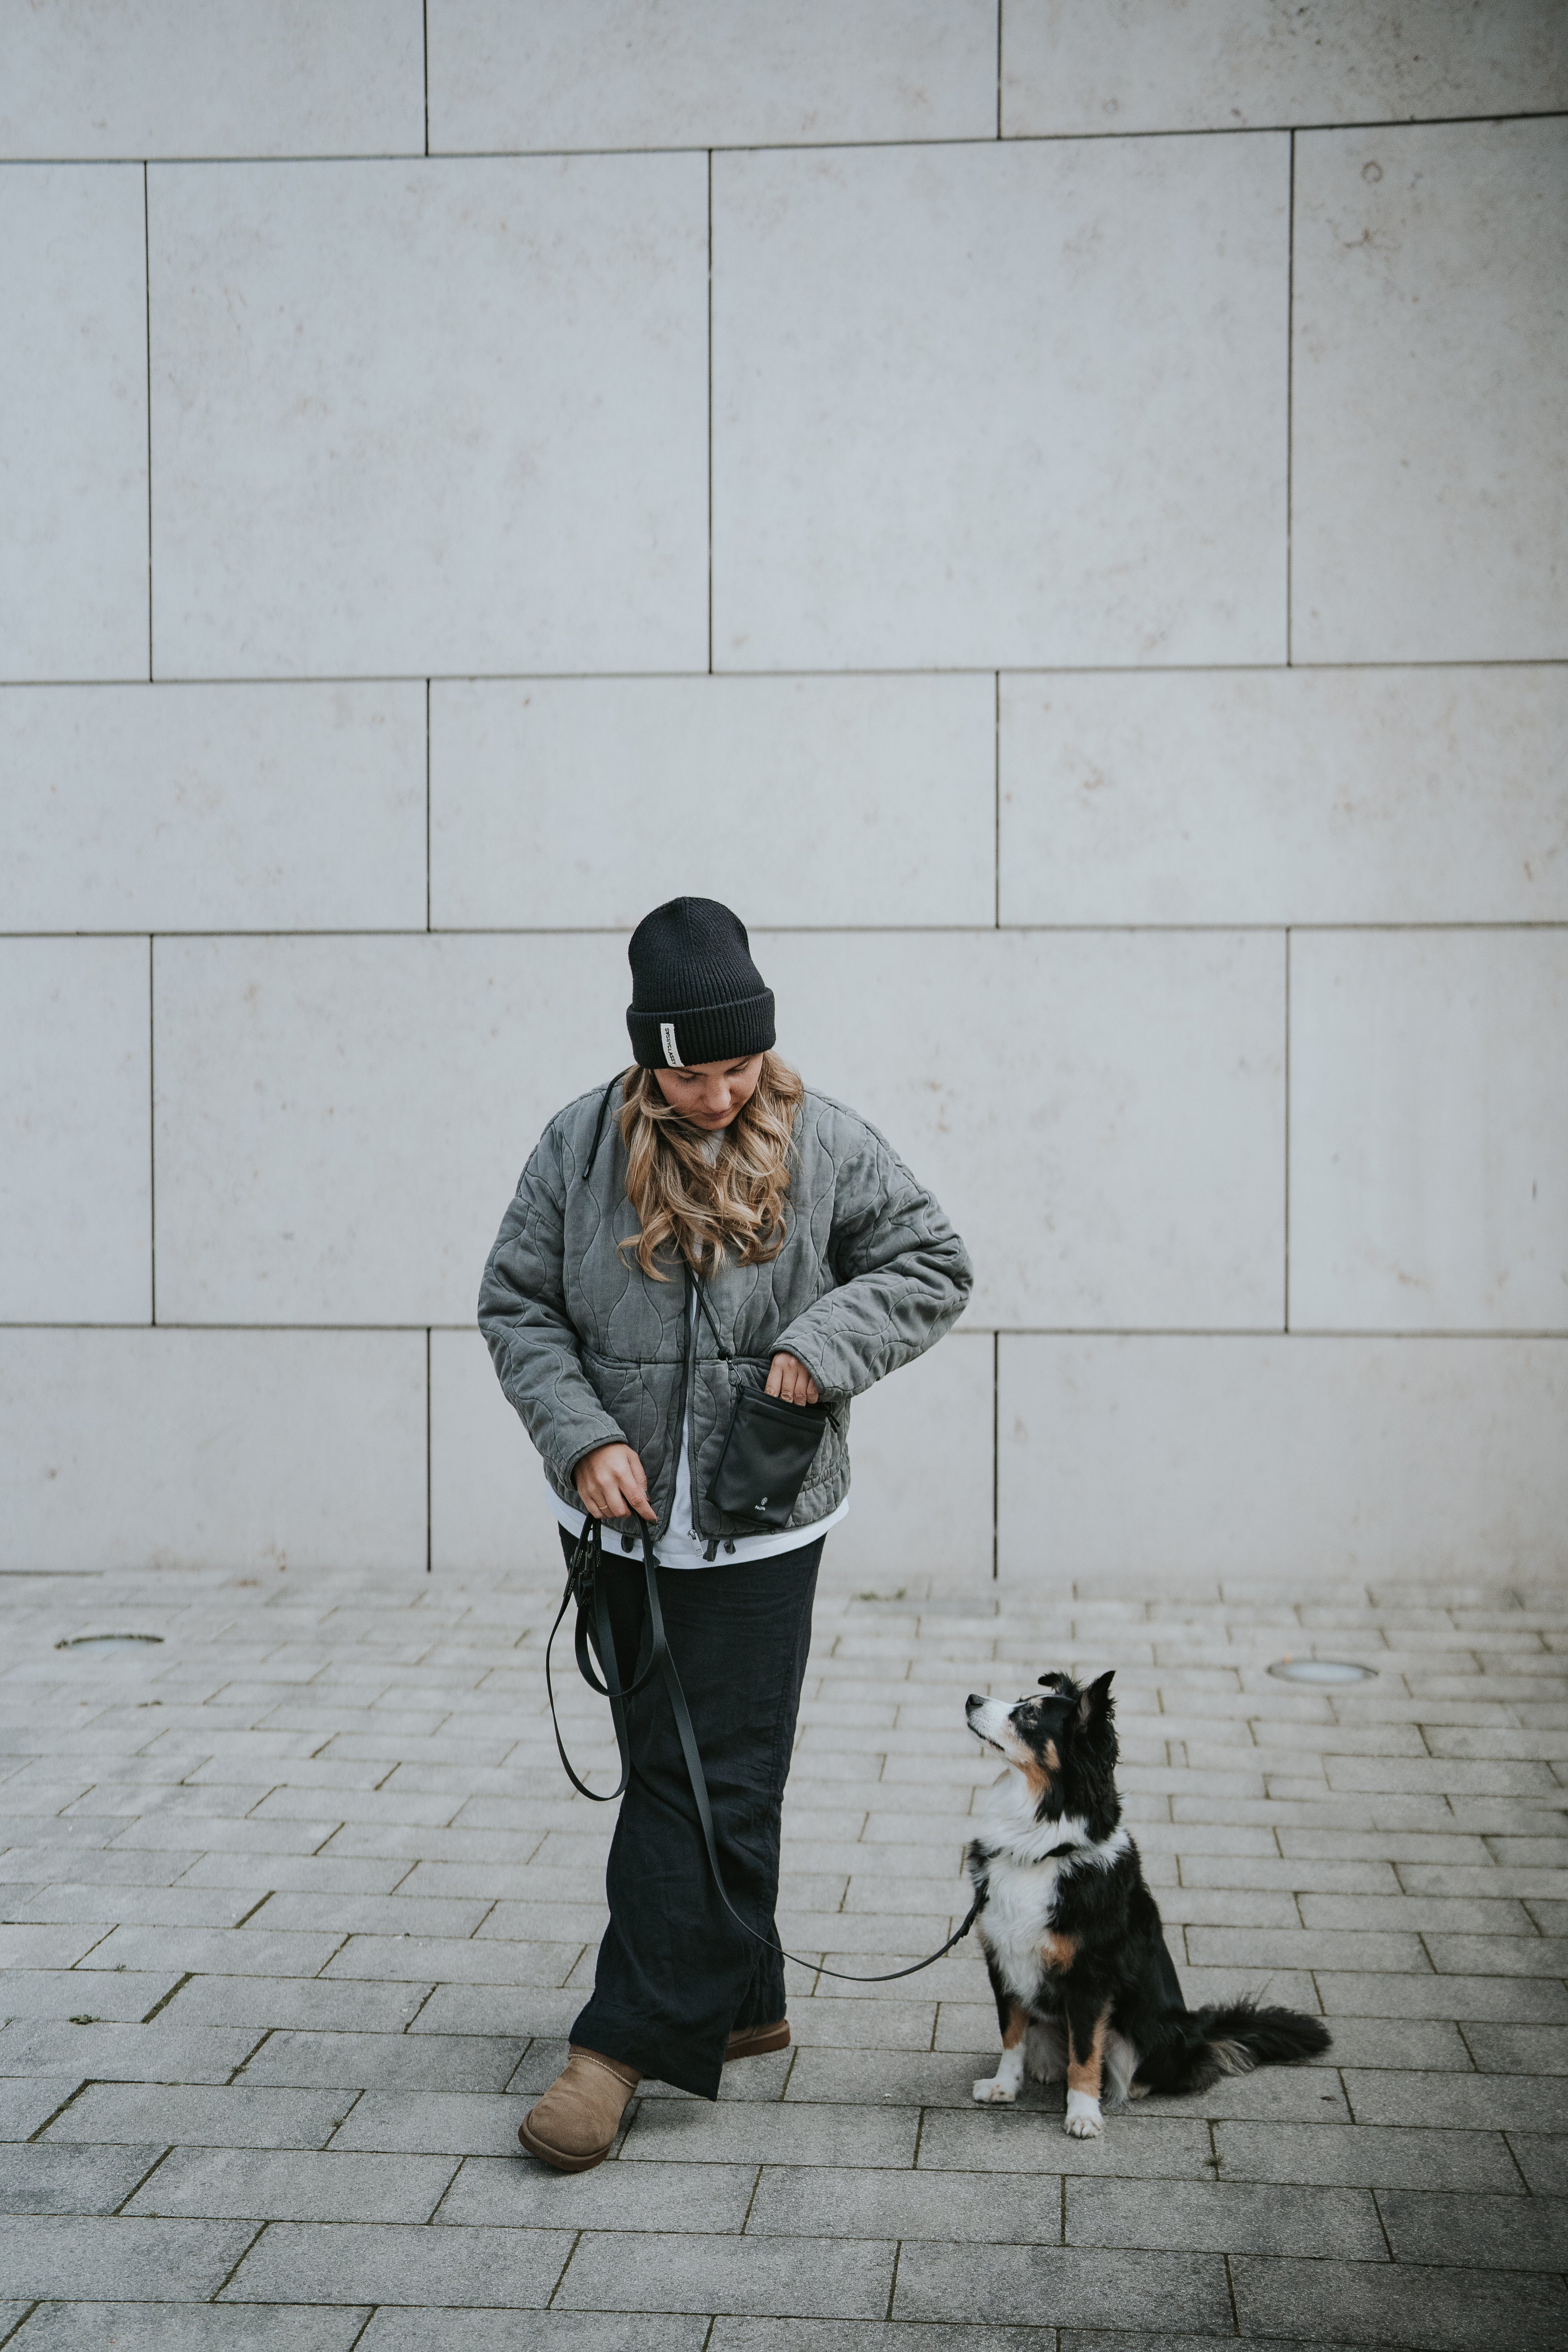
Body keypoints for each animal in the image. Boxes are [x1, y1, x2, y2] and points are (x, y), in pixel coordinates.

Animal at [964, 1675, 1335, 2136]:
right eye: (1019, 1701)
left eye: (1029, 1715)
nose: (970, 1699)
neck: (1043, 1847)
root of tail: (1198, 2031)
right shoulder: (1004, 1956)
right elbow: (1011, 2034)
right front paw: (1004, 2086)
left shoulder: (1090, 1977)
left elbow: (1085, 2052)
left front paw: (1083, 2113)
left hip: (1149, 2033)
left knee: (1171, 2070)